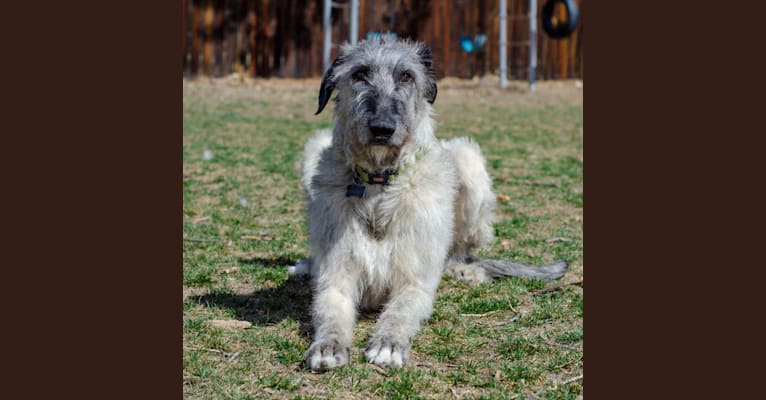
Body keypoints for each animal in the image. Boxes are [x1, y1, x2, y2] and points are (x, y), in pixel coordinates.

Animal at [296, 39, 568, 370]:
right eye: (359, 74)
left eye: (407, 76)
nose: (382, 128)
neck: (379, 185)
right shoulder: (336, 279)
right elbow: (330, 312)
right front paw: (328, 344)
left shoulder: (415, 283)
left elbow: (399, 312)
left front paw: (388, 343)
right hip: (314, 148)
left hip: (467, 159)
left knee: (460, 250)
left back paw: (466, 271)